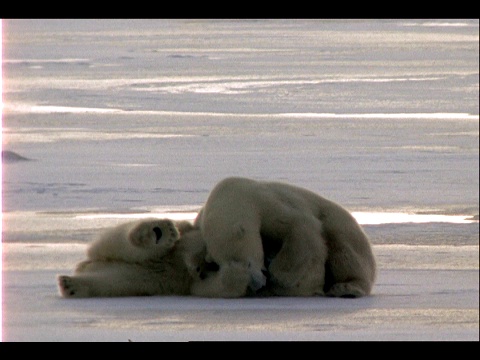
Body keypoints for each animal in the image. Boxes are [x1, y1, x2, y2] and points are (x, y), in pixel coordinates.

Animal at [56, 217, 206, 298]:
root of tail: (89, 262)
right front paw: (197, 265)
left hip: (148, 277)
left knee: (115, 280)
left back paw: (71, 285)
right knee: (125, 239)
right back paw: (159, 232)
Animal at [190, 177, 376, 298]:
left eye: (248, 262)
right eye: (220, 264)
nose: (258, 285)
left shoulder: (266, 202)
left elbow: (299, 227)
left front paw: (279, 275)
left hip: (342, 227)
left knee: (344, 251)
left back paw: (346, 288)